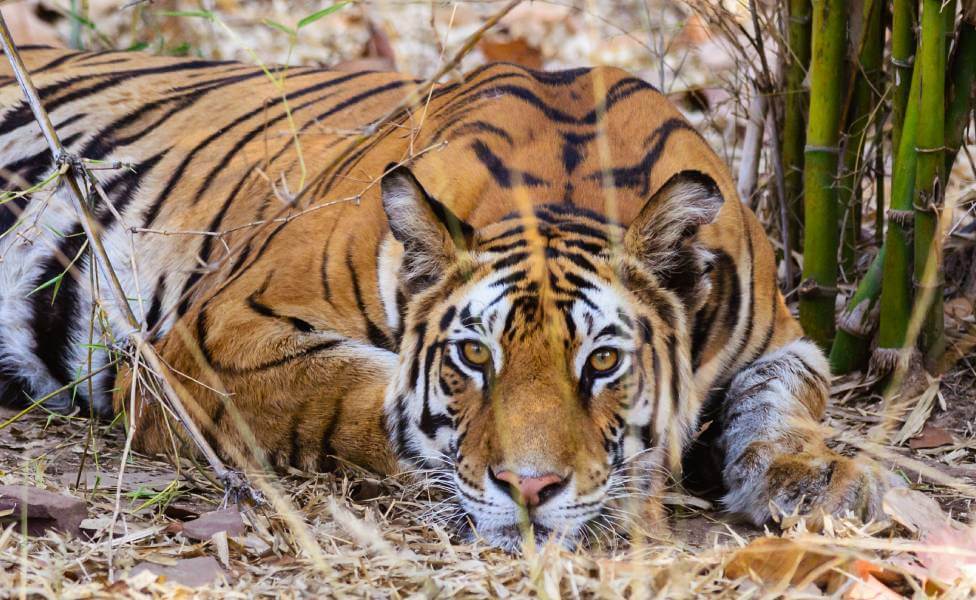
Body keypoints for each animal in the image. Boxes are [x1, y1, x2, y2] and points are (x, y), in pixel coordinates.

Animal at [1, 47, 900, 552]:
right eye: (472, 355)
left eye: (604, 362)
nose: (532, 494)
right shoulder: (207, 341)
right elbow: (360, 394)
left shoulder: (783, 337)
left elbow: (784, 398)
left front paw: (816, 477)